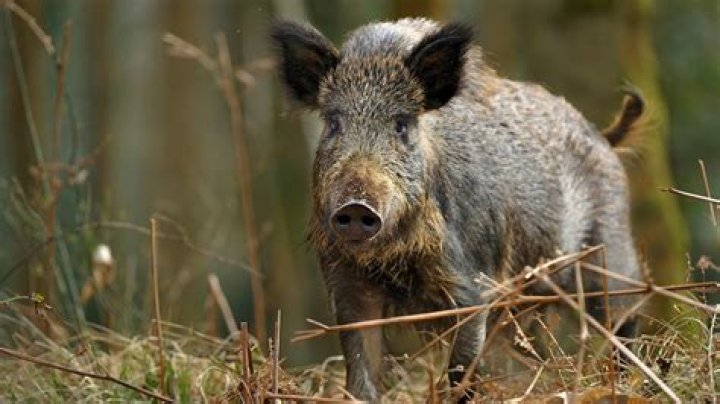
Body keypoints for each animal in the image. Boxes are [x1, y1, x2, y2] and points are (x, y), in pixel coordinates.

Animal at [271, 18, 641, 401]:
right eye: (333, 124)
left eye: (401, 125)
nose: (357, 206)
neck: (396, 260)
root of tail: (604, 137)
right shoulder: (347, 286)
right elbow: (361, 370)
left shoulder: (472, 286)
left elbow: (462, 369)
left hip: (610, 254)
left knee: (625, 317)